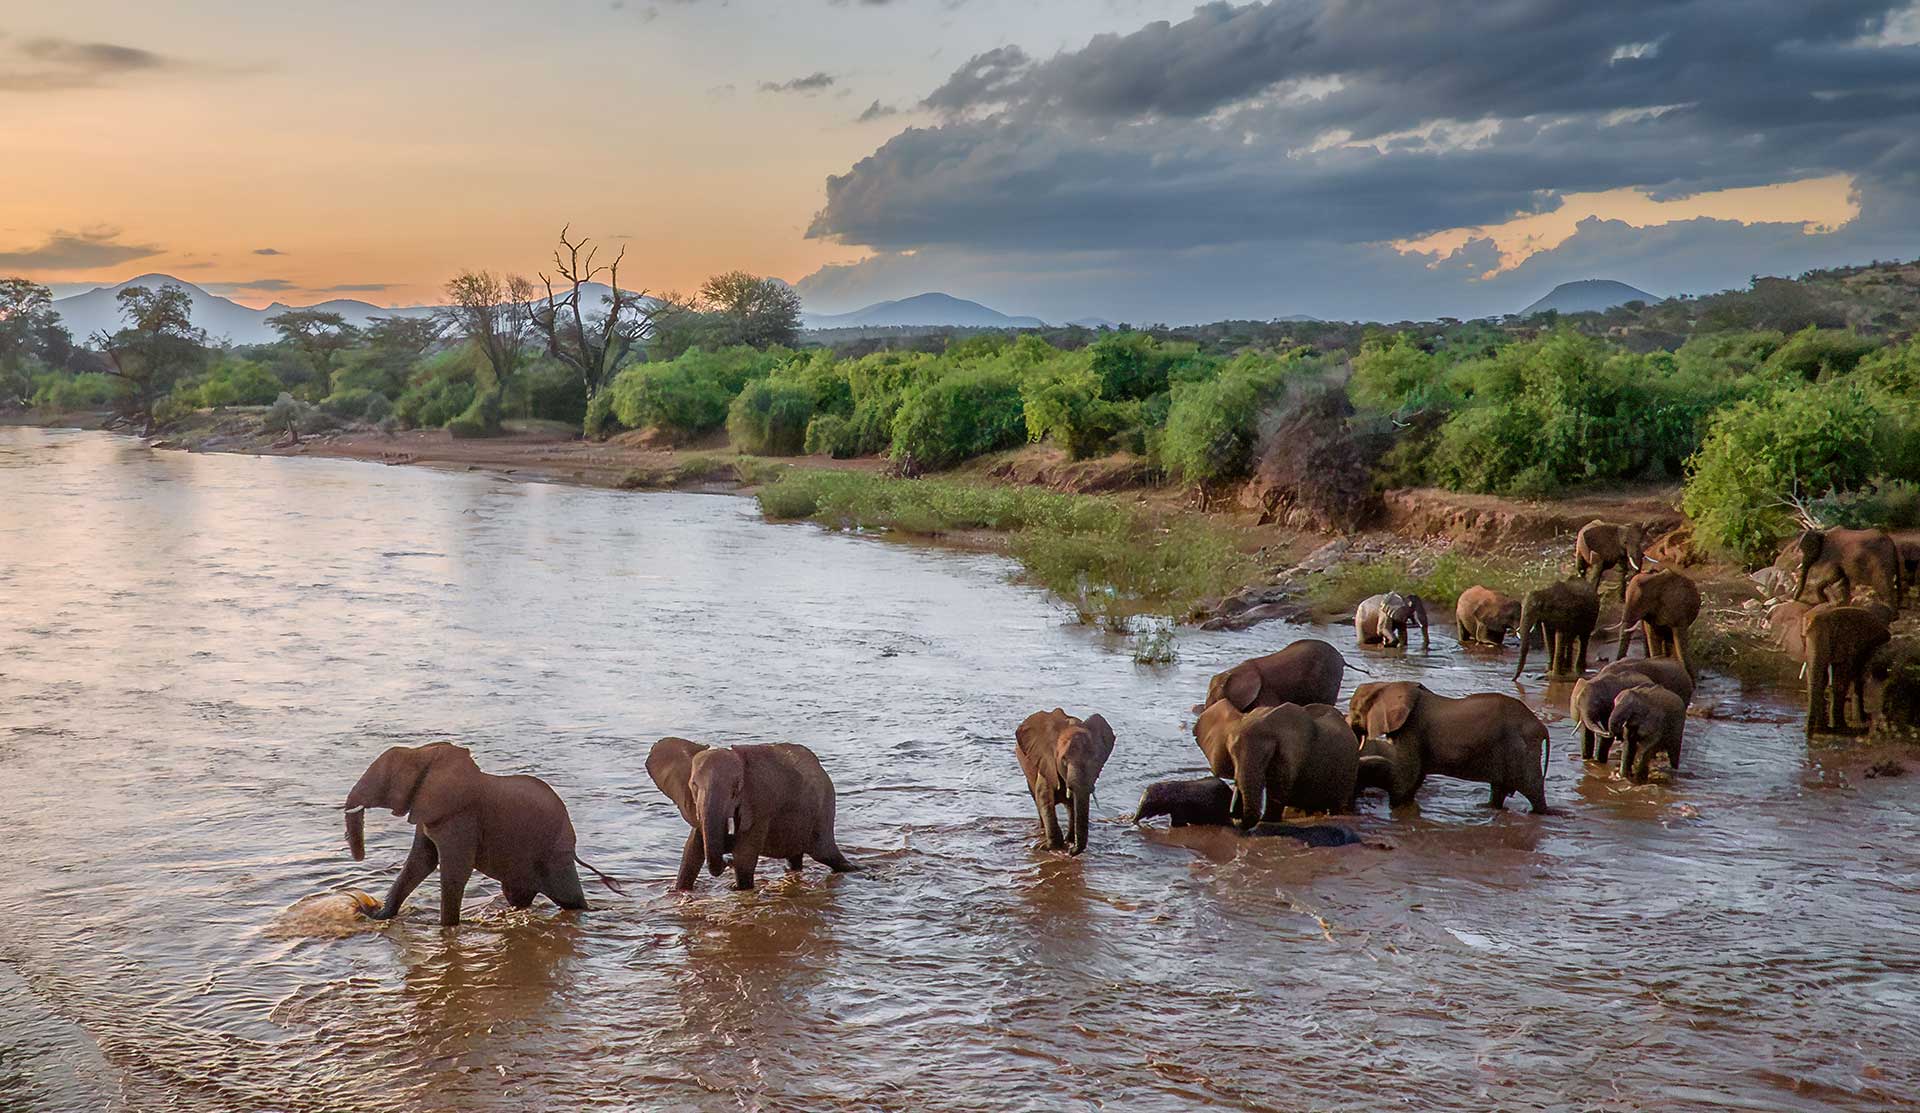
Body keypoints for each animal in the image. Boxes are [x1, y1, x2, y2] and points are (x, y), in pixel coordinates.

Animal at [343, 742, 620, 926]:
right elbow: (420, 863)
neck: (423, 752)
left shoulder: (461, 816)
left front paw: (447, 929)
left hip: (554, 851)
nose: (359, 902)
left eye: (385, 780)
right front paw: (378, 915)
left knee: (568, 898)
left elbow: (454, 870)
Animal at [645, 737, 855, 889]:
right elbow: (691, 853)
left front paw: (737, 887)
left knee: (826, 854)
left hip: (823, 811)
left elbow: (744, 857)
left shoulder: (760, 805)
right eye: (694, 785)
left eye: (736, 789)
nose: (727, 860)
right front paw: (678, 891)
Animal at [1015, 709, 1116, 855]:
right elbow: (1044, 797)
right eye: (1063, 760)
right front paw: (1052, 847)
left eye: (1096, 760)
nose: (1071, 851)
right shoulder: (1046, 760)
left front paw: (1068, 843)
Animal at [1347, 681, 1550, 812]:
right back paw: (1487, 808)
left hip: (1521, 751)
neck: (1389, 685)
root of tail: (1542, 727)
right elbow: (1416, 777)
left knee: (1533, 790)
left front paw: (1396, 807)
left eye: (1355, 711)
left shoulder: (1412, 728)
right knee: (1500, 789)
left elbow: (1408, 776)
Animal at [1803, 606, 1893, 736]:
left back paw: (1862, 721)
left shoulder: (1848, 646)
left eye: (1829, 637)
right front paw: (1823, 730)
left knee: (1860, 675)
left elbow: (1840, 680)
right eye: (1804, 638)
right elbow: (1821, 679)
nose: (1807, 734)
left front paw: (1842, 729)